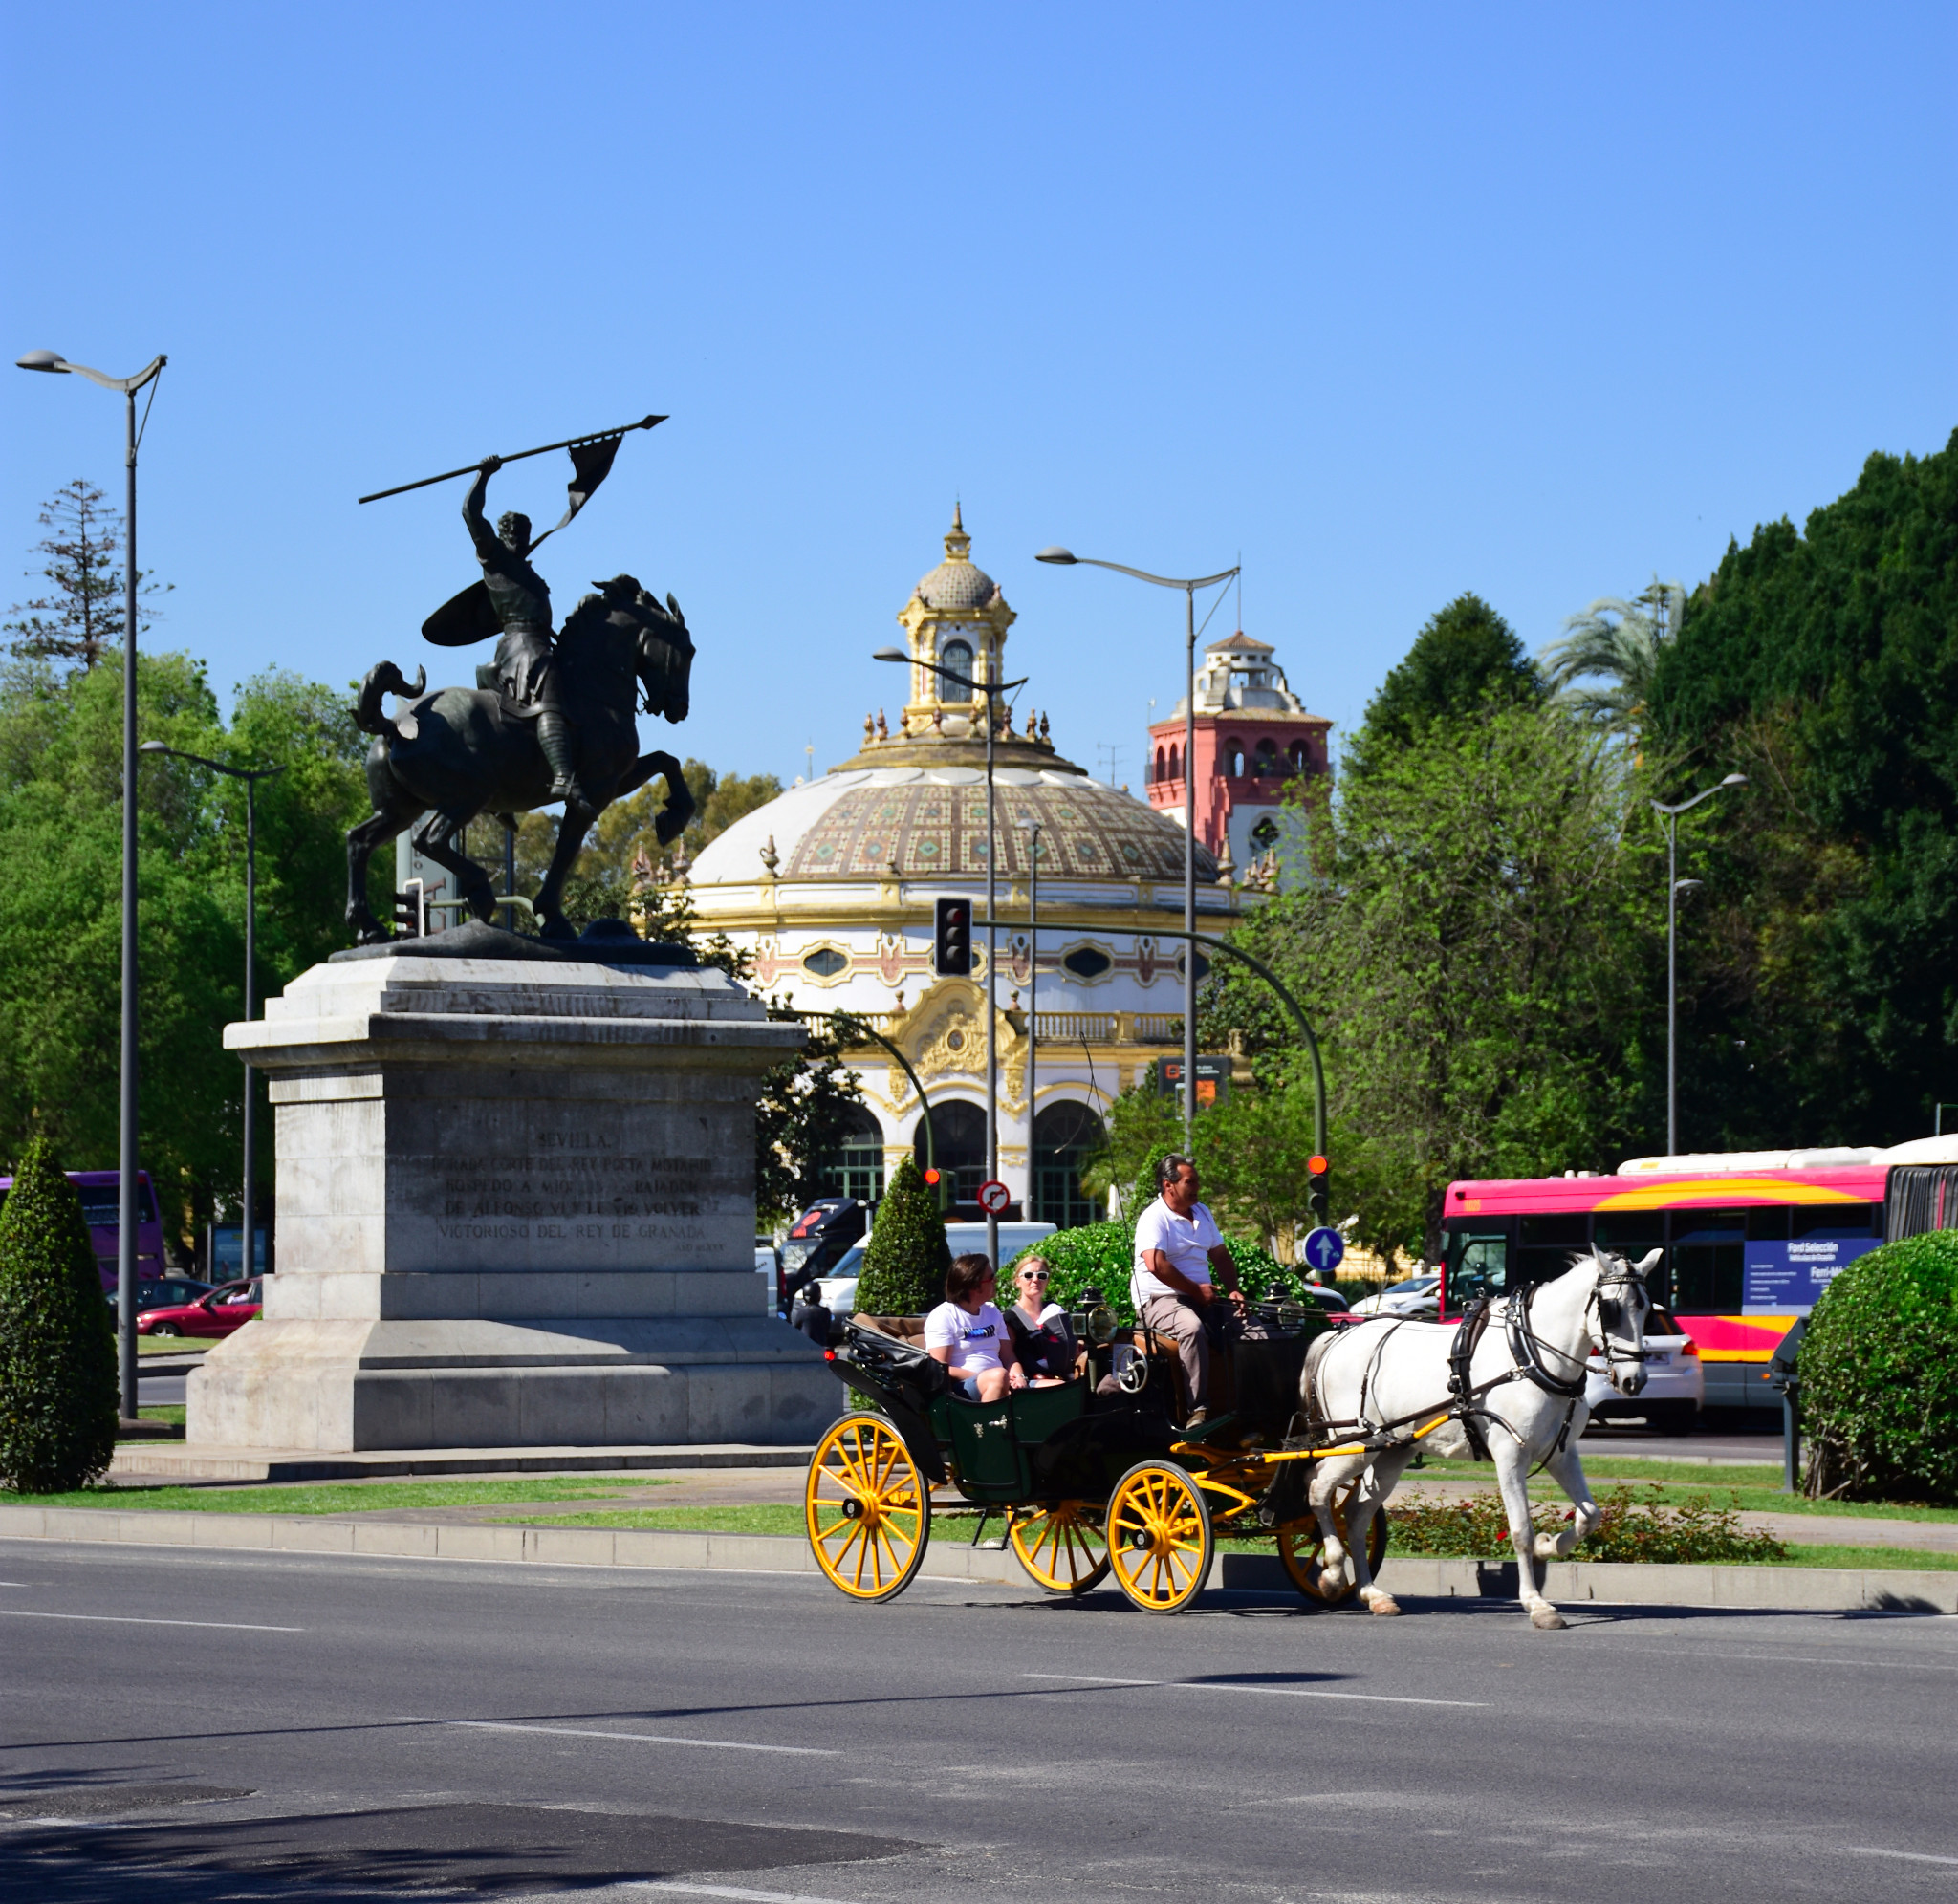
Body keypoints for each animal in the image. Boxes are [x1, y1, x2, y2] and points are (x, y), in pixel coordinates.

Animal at [1299, 1244, 1652, 1635]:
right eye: (1611, 1309)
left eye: (1646, 1309)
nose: (1634, 1380)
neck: (1530, 1357)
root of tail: (1337, 1338)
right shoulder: (1510, 1456)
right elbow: (1521, 1531)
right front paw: (1537, 1604)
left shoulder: (1562, 1454)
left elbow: (1590, 1515)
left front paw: (1550, 1546)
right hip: (1352, 1446)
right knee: (1317, 1487)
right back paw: (1333, 1572)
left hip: (1391, 1451)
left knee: (1357, 1514)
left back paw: (1371, 1593)